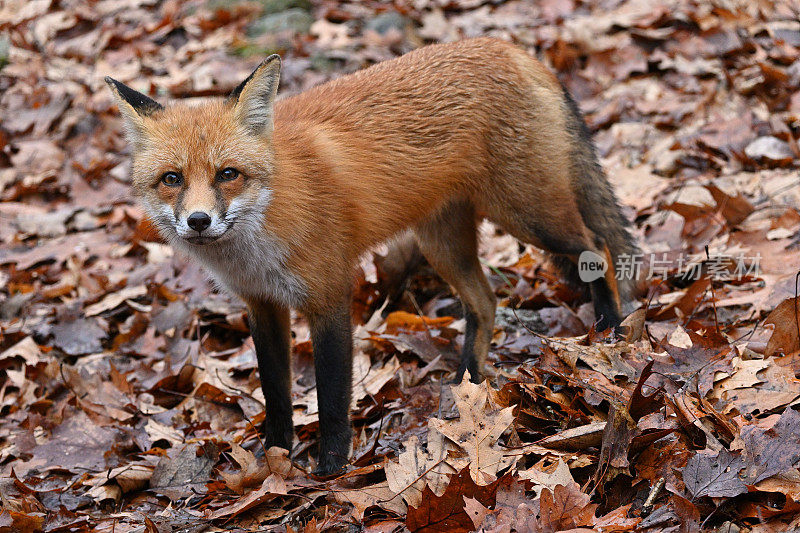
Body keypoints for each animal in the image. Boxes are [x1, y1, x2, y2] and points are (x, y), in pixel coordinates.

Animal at [106, 38, 636, 474]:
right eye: (172, 179)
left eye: (228, 174)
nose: (198, 221)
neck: (262, 232)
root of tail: (513, 49)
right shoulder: (263, 306)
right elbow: (276, 393)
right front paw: (275, 457)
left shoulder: (330, 296)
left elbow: (332, 395)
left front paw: (330, 469)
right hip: (444, 245)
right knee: (486, 304)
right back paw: (466, 386)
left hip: (529, 215)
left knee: (599, 249)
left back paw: (609, 330)